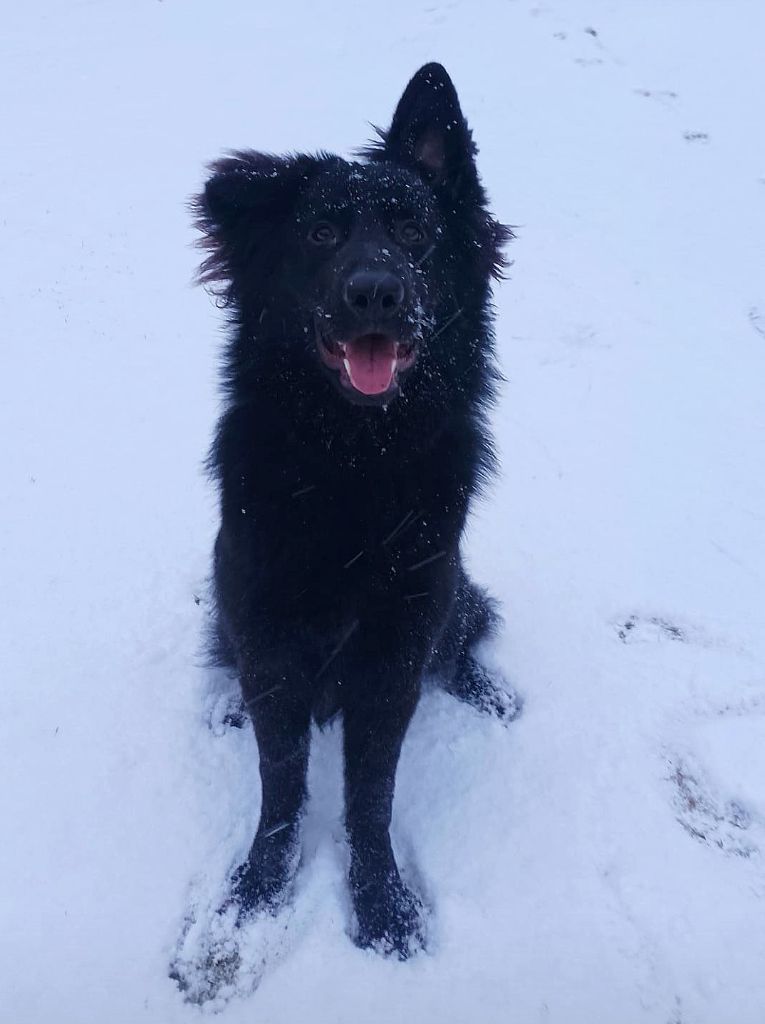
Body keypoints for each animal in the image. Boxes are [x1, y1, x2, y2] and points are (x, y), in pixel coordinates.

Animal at [194, 62, 513, 958]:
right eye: (319, 235)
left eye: (412, 231)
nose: (375, 292)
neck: (351, 465)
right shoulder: (265, 628)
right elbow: (280, 782)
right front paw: (255, 896)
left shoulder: (398, 641)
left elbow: (371, 793)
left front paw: (383, 904)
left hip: (451, 595)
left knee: (465, 633)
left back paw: (487, 691)